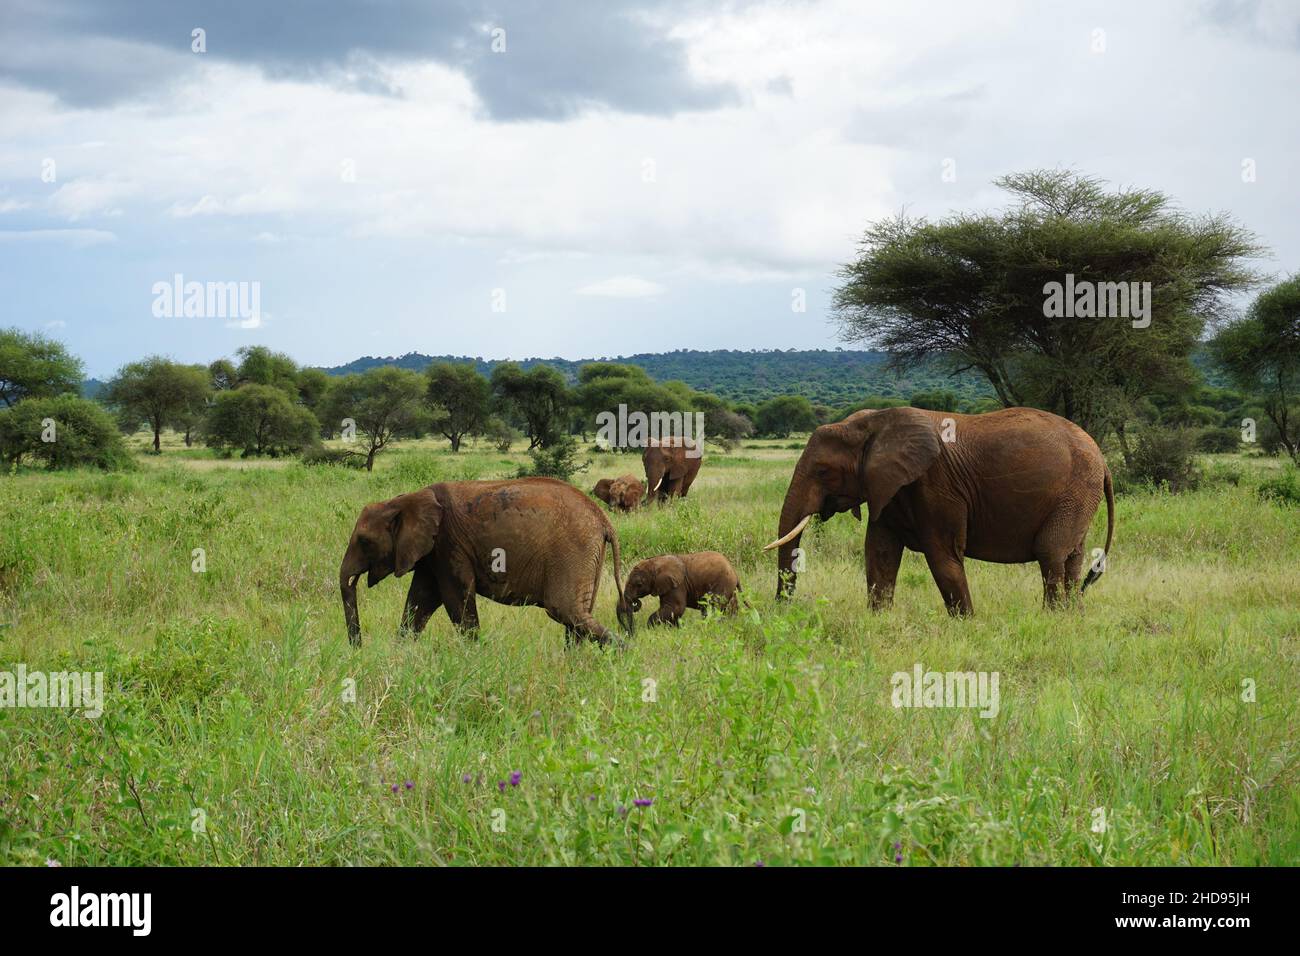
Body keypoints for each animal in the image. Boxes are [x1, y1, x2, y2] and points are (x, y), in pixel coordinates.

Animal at [339, 477, 633, 646]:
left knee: (565, 610)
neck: (405, 499)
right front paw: (402, 655)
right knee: (577, 617)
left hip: (574, 552)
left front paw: (473, 656)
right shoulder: (433, 553)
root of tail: (604, 520)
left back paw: (624, 654)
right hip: (587, 556)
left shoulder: (449, 544)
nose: (358, 647)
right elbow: (420, 600)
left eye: (364, 541)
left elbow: (455, 599)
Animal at [764, 407, 1114, 614]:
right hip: (1079, 494)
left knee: (1050, 551)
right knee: (1072, 555)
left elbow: (943, 555)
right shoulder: (889, 487)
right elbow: (879, 553)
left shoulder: (937, 484)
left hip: (1076, 489)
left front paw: (967, 624)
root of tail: (1101, 457)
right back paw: (1072, 615)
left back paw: (1051, 616)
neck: (872, 423)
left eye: (823, 471)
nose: (782, 608)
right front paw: (879, 619)